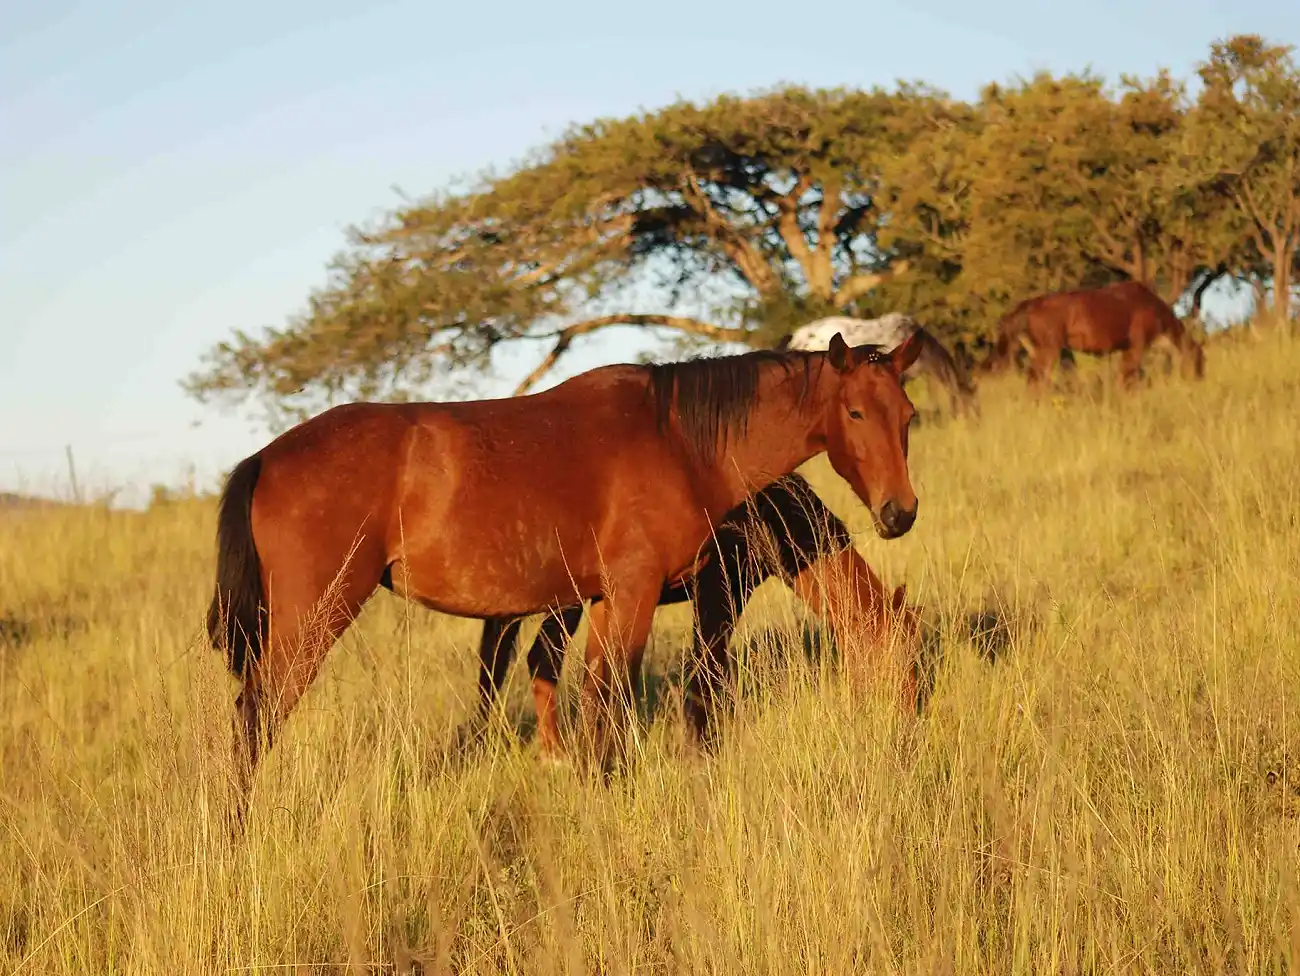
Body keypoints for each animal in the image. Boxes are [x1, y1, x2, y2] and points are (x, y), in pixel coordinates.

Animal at [464, 472, 922, 753]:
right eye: (901, 659)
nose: (907, 722)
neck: (772, 510)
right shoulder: (721, 582)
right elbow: (706, 666)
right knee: (521, 657)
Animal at [981, 279, 1206, 394]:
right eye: (1200, 361)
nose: (1200, 380)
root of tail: (1030, 303)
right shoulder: (1135, 347)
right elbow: (1128, 379)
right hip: (1048, 352)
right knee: (1035, 380)